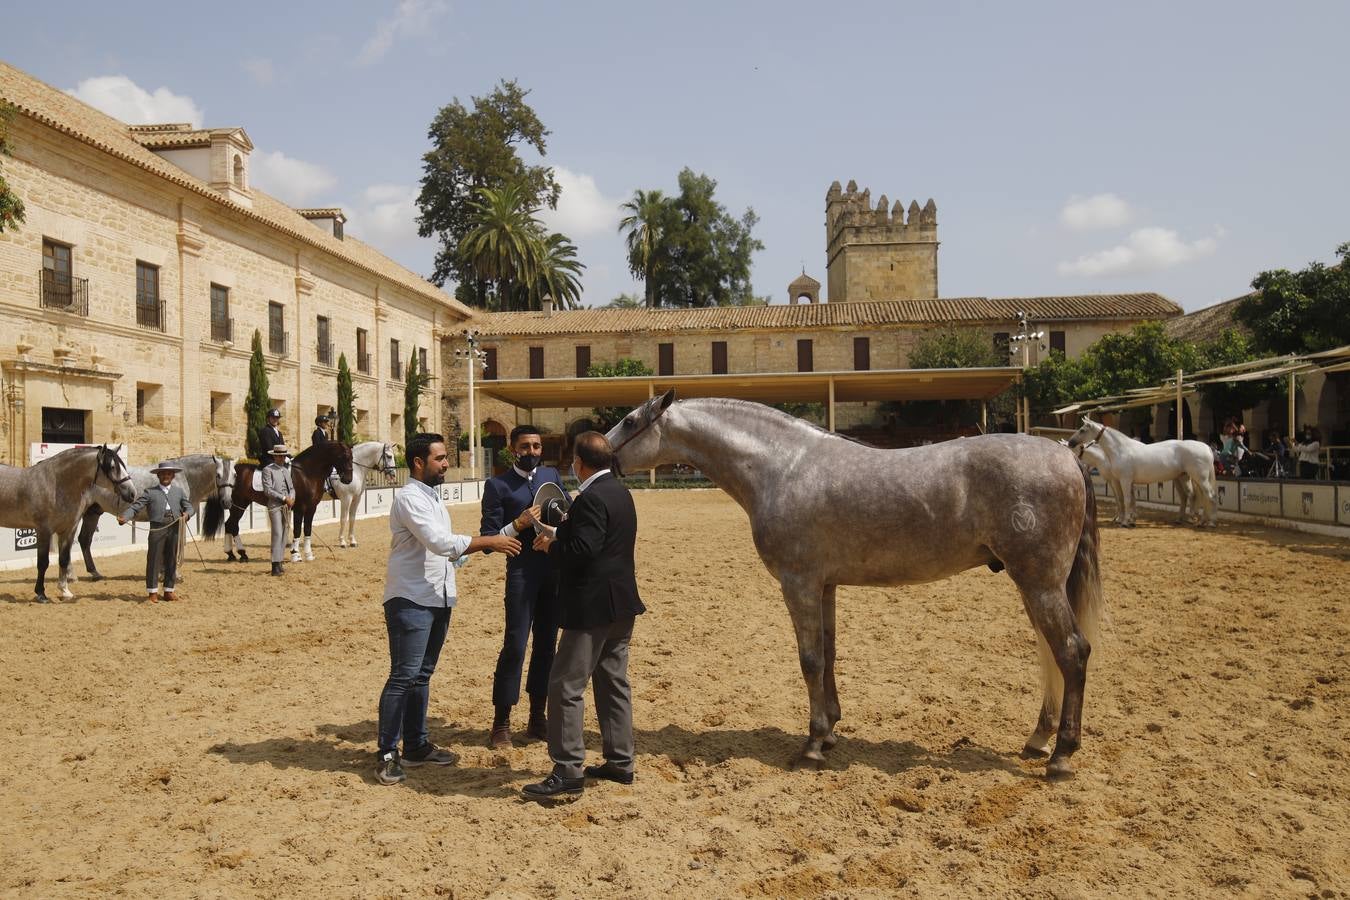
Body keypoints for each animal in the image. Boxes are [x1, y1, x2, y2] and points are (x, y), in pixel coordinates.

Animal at [0, 445, 134, 604]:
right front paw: (41, 594)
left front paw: (65, 590)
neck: (56, 485)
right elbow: (43, 563)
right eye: (112, 466)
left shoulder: (68, 530)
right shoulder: (44, 531)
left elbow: (63, 559)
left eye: (123, 465)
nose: (132, 493)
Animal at [77, 453, 234, 580]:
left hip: (93, 513)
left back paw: (95, 573)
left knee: (84, 540)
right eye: (218, 475)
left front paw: (162, 572)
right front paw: (173, 574)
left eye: (235, 475)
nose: (227, 502)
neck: (184, 477)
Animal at [221, 439, 351, 558]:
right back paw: (241, 553)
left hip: (242, 503)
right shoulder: (299, 508)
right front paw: (295, 554)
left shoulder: (311, 508)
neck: (307, 474)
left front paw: (308, 554)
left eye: (351, 457)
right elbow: (297, 530)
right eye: (343, 456)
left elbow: (307, 529)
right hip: (237, 504)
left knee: (229, 524)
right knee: (232, 525)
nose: (348, 480)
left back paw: (231, 554)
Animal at [607, 394, 1101, 782]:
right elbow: (828, 654)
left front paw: (811, 747)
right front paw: (829, 732)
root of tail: (1067, 455)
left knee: (1072, 653)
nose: (596, 453)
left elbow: (809, 660)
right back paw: (1038, 740)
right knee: (1052, 654)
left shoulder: (800, 583)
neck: (782, 467)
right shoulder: (825, 585)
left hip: (1039, 582)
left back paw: (1060, 757)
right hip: (1036, 584)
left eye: (630, 422)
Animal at [1069, 418, 1220, 528]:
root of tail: (1206, 447)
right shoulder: (1123, 481)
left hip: (1200, 478)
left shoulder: (1124, 480)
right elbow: (1128, 500)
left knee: (1210, 496)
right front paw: (1129, 520)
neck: (1120, 450)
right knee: (1195, 497)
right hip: (1185, 477)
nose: (1071, 442)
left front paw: (1125, 522)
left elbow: (1127, 500)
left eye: (1082, 430)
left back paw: (1210, 522)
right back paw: (1196, 520)